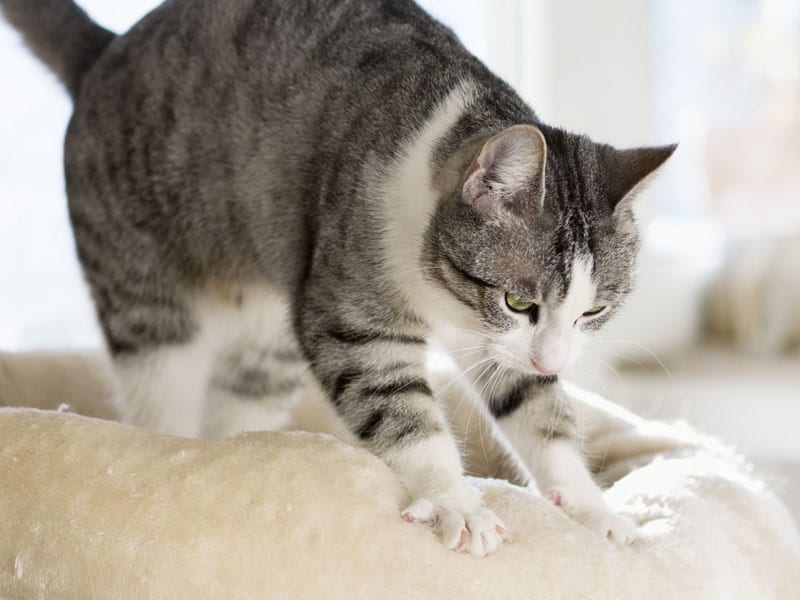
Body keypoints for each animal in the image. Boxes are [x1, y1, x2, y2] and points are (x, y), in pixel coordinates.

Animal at [1, 0, 676, 556]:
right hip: (144, 290)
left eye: (594, 311)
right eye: (517, 300)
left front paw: (591, 508)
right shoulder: (350, 308)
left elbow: (538, 407)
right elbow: (398, 406)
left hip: (266, 329)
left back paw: (232, 454)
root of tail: (105, 51)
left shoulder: (495, 343)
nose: (554, 357)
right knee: (160, 387)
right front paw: (456, 502)